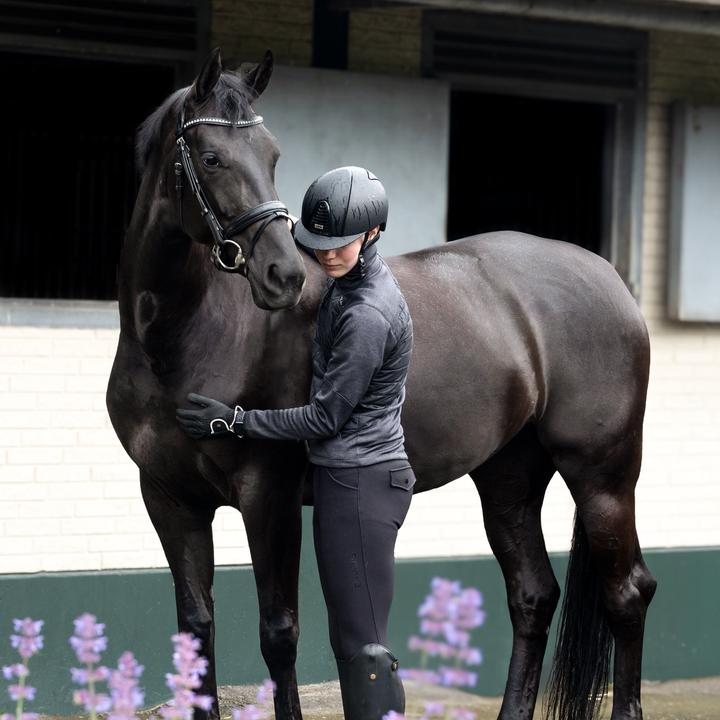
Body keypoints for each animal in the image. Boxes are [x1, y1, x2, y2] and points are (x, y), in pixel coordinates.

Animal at [107, 48, 656, 720]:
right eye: (211, 157)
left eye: (272, 155)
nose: (283, 274)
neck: (181, 339)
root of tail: (609, 279)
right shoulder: (168, 498)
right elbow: (195, 628)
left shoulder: (268, 496)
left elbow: (278, 632)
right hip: (509, 481)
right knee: (533, 595)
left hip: (603, 478)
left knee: (626, 592)